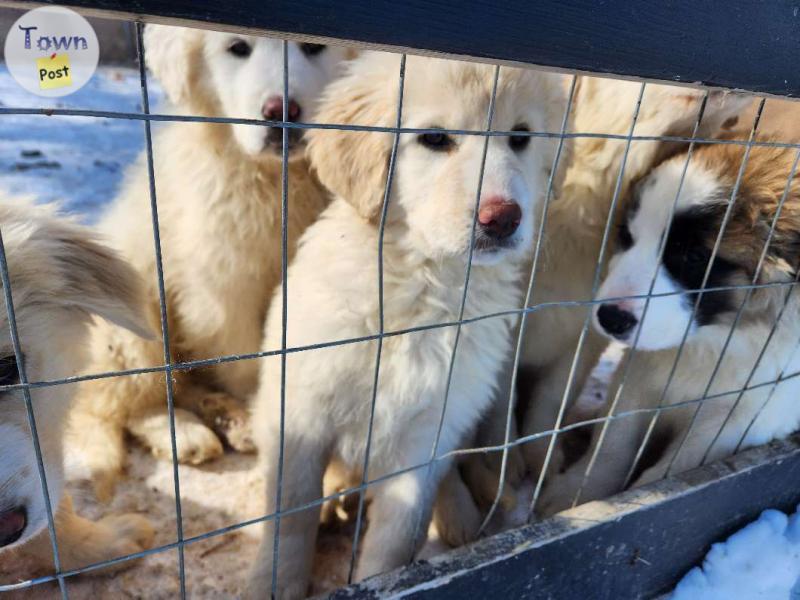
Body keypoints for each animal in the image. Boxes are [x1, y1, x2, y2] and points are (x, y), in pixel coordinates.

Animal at [70, 23, 352, 502]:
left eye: (315, 47)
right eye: (237, 48)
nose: (280, 111)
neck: (279, 180)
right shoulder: (222, 286)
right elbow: (248, 362)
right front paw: (262, 419)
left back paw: (220, 416)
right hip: (132, 318)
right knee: (125, 400)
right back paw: (187, 433)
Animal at [247, 52, 564, 600]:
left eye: (520, 137)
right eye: (434, 139)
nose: (503, 218)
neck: (423, 284)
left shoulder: (428, 438)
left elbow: (397, 540)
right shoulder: (301, 416)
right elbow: (291, 518)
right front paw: (276, 583)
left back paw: (461, 514)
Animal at [536, 141, 800, 516]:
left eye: (693, 257)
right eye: (627, 236)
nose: (609, 318)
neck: (715, 340)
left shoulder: (744, 418)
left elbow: (673, 471)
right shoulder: (636, 377)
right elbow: (612, 443)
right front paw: (576, 493)